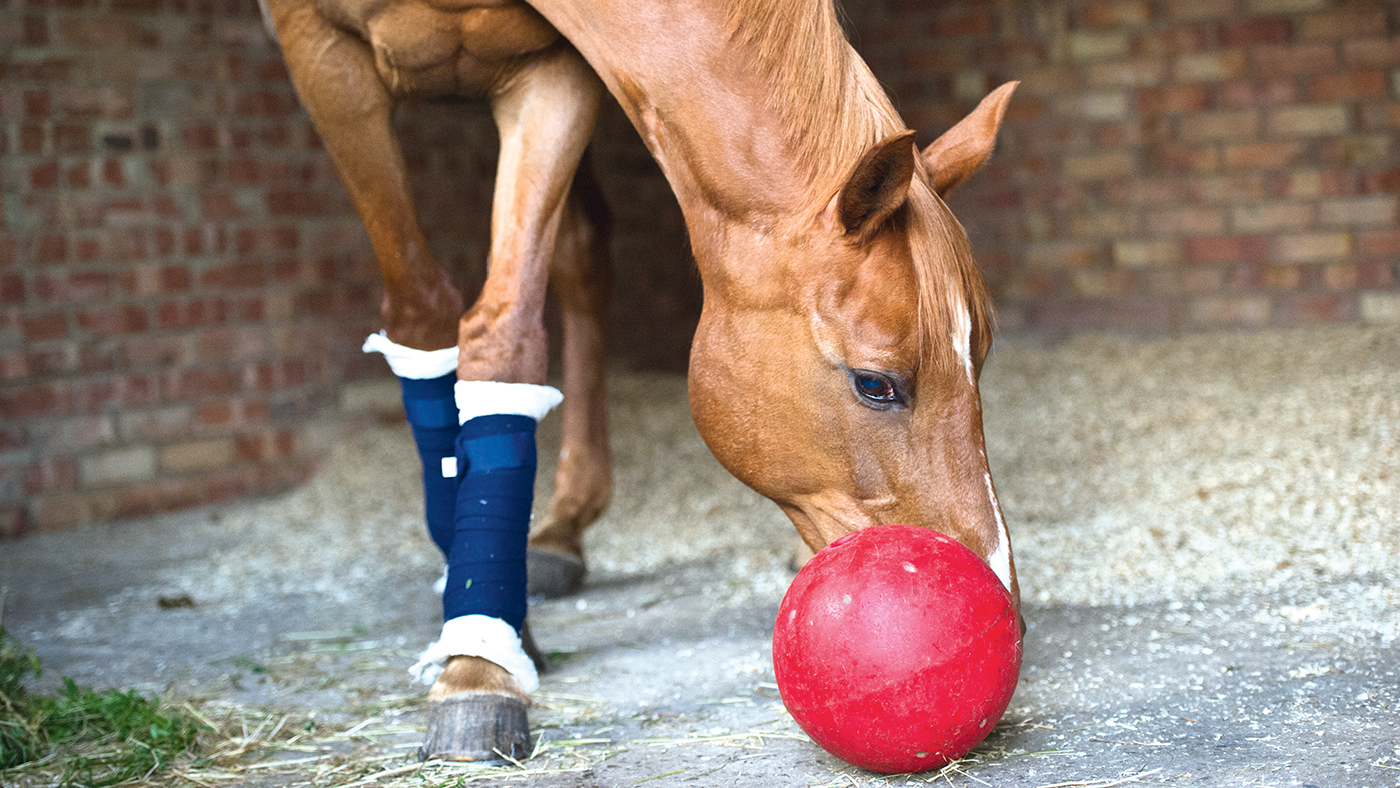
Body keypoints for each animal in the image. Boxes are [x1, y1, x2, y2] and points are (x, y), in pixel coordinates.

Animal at [260, 0, 1019, 762]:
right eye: (875, 384)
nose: (1002, 608)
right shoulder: (322, 55)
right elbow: (424, 316)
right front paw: (478, 653)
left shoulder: (551, 69)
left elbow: (507, 335)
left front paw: (483, 647)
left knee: (581, 257)